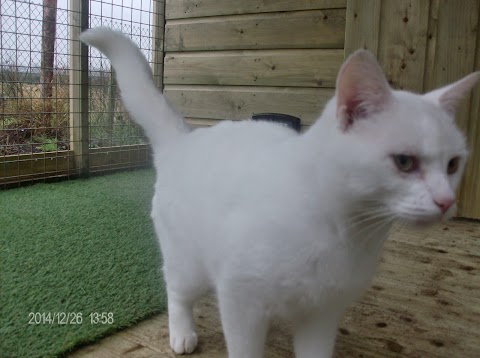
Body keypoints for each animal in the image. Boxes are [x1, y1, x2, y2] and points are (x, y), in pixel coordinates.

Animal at [80, 28, 478, 358]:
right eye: (405, 162)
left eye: (453, 164)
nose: (446, 201)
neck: (344, 231)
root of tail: (185, 139)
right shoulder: (240, 300)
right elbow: (244, 350)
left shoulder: (321, 317)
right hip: (189, 263)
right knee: (175, 289)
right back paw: (182, 333)